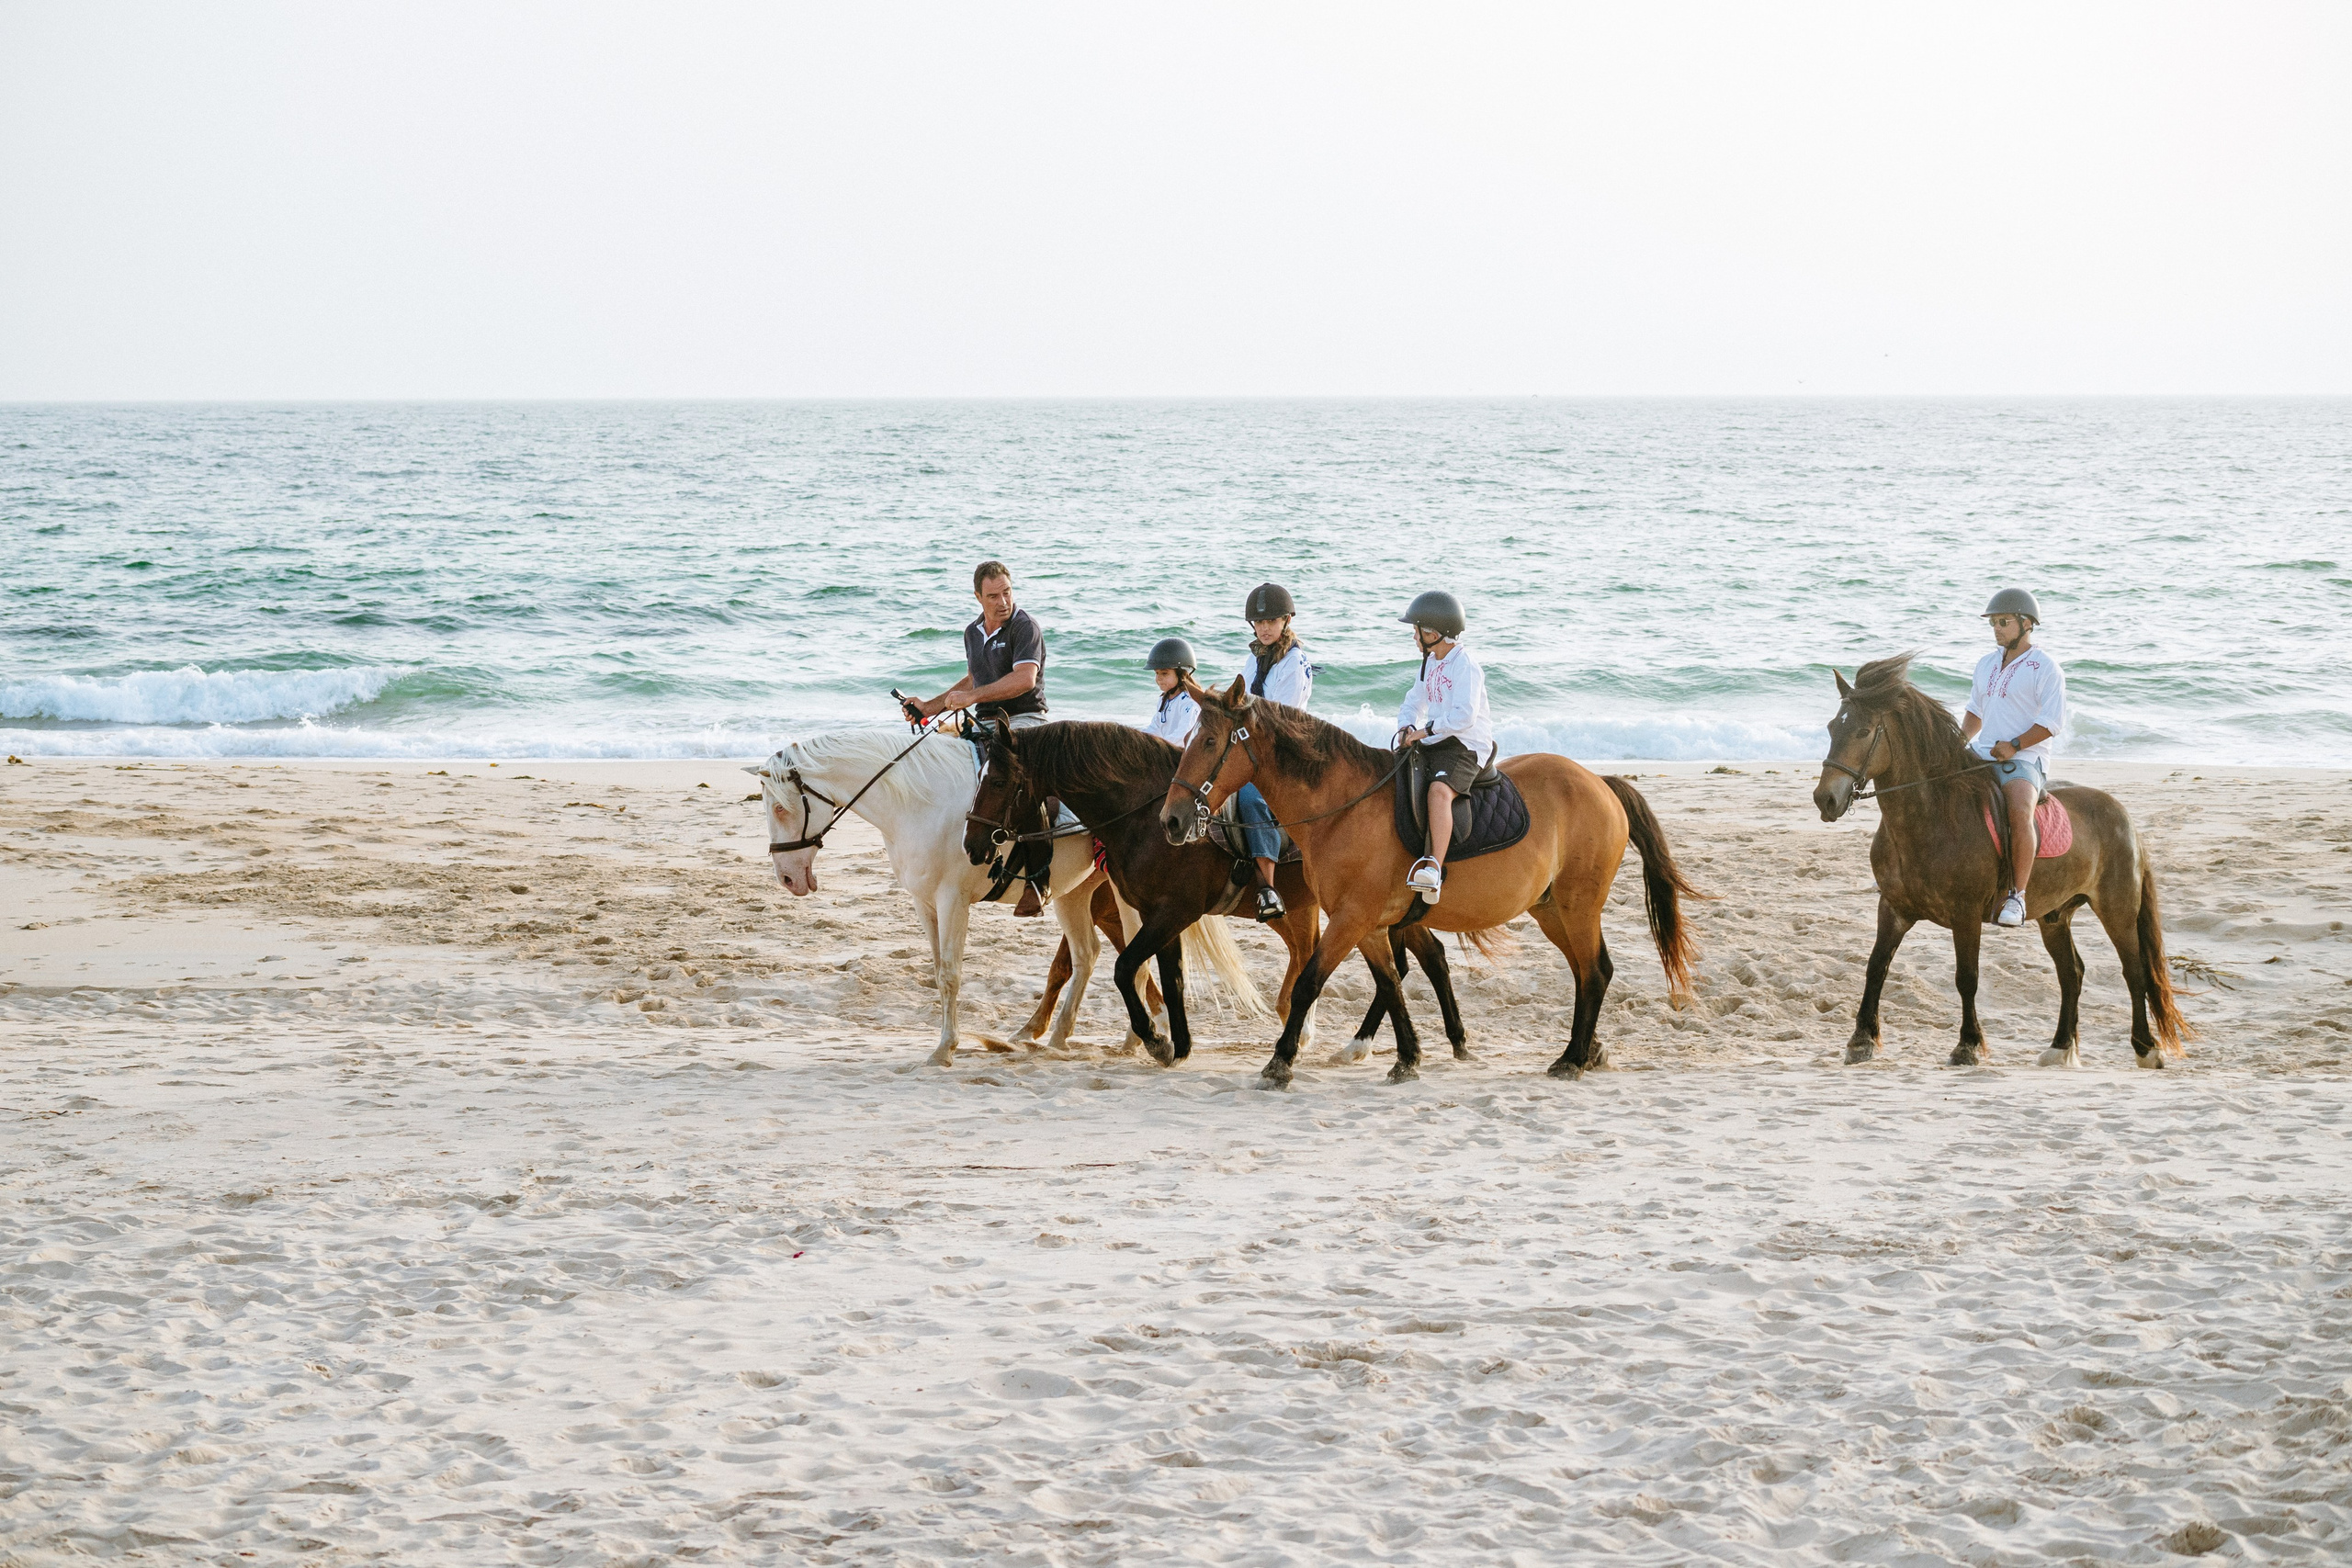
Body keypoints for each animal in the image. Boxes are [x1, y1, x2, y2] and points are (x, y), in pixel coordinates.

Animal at [964, 720, 1474, 1068]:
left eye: (998, 780)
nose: (972, 843)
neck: (1145, 814)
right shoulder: (1157, 913)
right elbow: (1170, 979)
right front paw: (1179, 1045)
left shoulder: (1173, 911)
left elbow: (1126, 968)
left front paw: (1156, 1040)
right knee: (1424, 957)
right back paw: (1434, 1040)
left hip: (1353, 910)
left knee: (1394, 964)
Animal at [1160, 677, 1702, 1085]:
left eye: (1209, 742)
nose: (1171, 820)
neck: (1343, 808)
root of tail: (1599, 783)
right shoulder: (1369, 924)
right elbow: (1391, 982)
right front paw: (1407, 1057)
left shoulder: (1351, 919)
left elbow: (1311, 981)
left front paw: (1280, 1061)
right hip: (1552, 909)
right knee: (1590, 970)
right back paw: (1586, 1051)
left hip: (1577, 906)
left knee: (1594, 971)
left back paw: (1572, 1058)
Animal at [1811, 654, 2190, 1068]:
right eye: (1832, 727)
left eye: (1864, 731)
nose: (1825, 800)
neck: (1931, 818)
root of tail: (2125, 819)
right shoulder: (1894, 907)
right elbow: (1875, 967)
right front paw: (1861, 1039)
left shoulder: (1964, 914)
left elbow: (1967, 978)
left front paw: (1968, 1045)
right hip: (2055, 917)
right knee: (2071, 973)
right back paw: (2060, 1047)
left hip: (2117, 910)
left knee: (2133, 970)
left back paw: (2146, 1048)